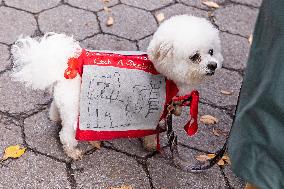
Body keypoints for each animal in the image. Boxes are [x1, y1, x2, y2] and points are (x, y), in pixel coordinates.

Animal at [11, 14, 223, 159]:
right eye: (194, 57)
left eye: (211, 51)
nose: (213, 65)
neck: (166, 75)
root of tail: (69, 64)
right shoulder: (153, 112)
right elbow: (151, 133)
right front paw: (150, 145)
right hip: (75, 113)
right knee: (66, 134)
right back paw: (73, 151)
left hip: (67, 102)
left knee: (56, 110)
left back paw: (57, 118)